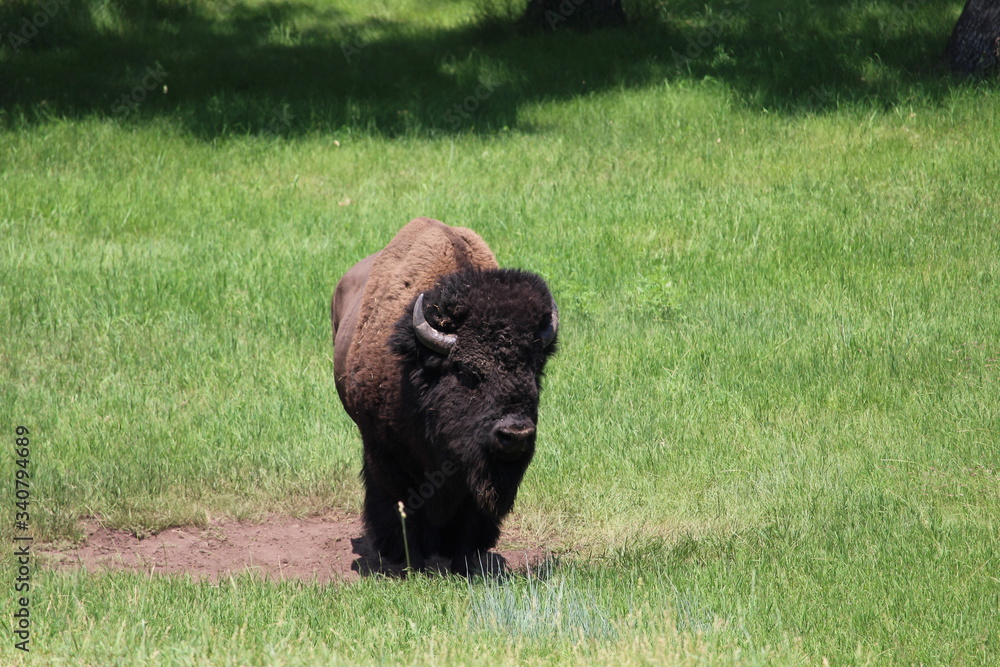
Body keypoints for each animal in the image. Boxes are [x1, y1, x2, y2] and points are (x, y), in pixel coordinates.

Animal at [332, 218, 558, 574]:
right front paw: (411, 563)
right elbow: (402, 504)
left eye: (534, 370)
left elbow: (469, 511)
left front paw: (464, 563)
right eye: (467, 372)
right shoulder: (384, 451)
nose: (516, 434)